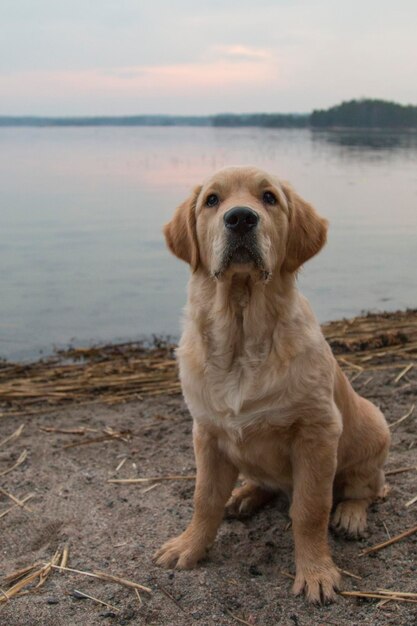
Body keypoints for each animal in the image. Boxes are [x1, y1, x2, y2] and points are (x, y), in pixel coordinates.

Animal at [154, 165, 390, 600]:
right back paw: (244, 495)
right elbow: (203, 499)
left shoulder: (317, 431)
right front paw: (188, 547)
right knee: (265, 483)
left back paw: (350, 516)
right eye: (212, 200)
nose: (240, 218)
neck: (242, 337)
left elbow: (311, 508)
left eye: (269, 198)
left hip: (374, 427)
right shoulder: (206, 433)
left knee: (365, 487)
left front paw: (316, 573)